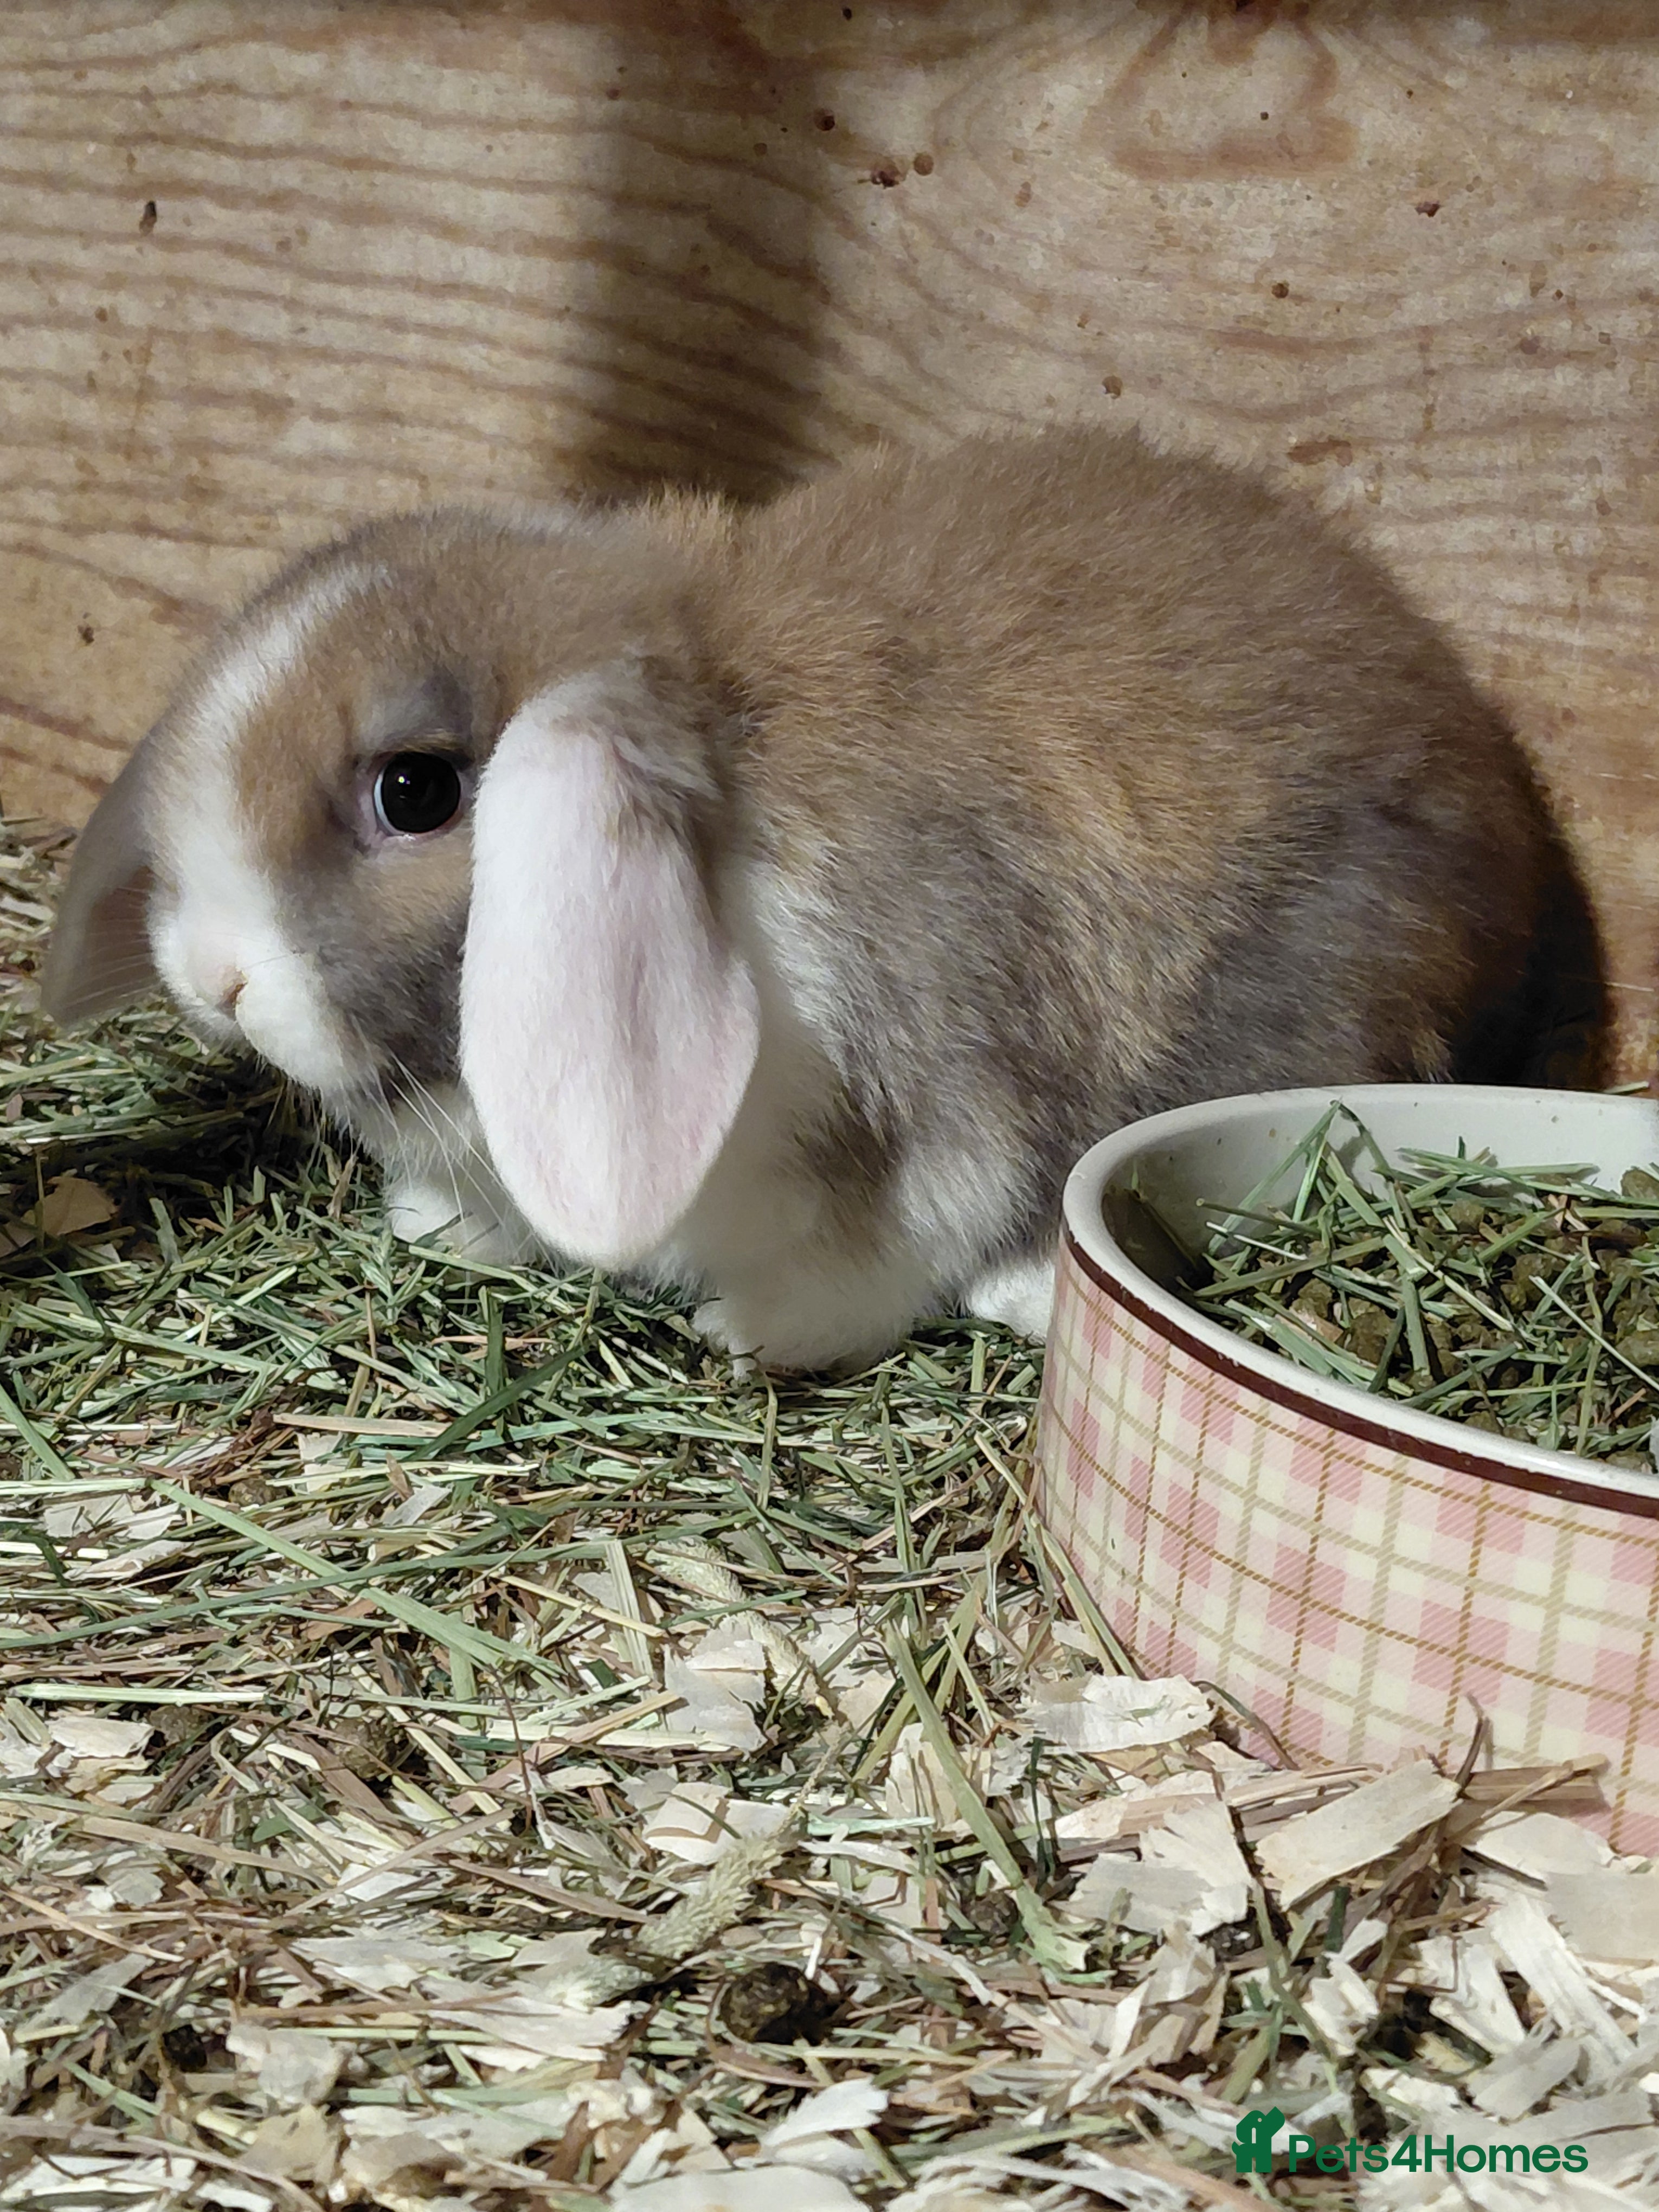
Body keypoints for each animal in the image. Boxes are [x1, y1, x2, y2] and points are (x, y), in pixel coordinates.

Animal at [41, 427, 1601, 1370]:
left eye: (416, 792)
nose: (212, 976)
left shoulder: (940, 1098)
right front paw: (442, 1227)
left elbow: (891, 1244)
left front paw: (746, 1328)